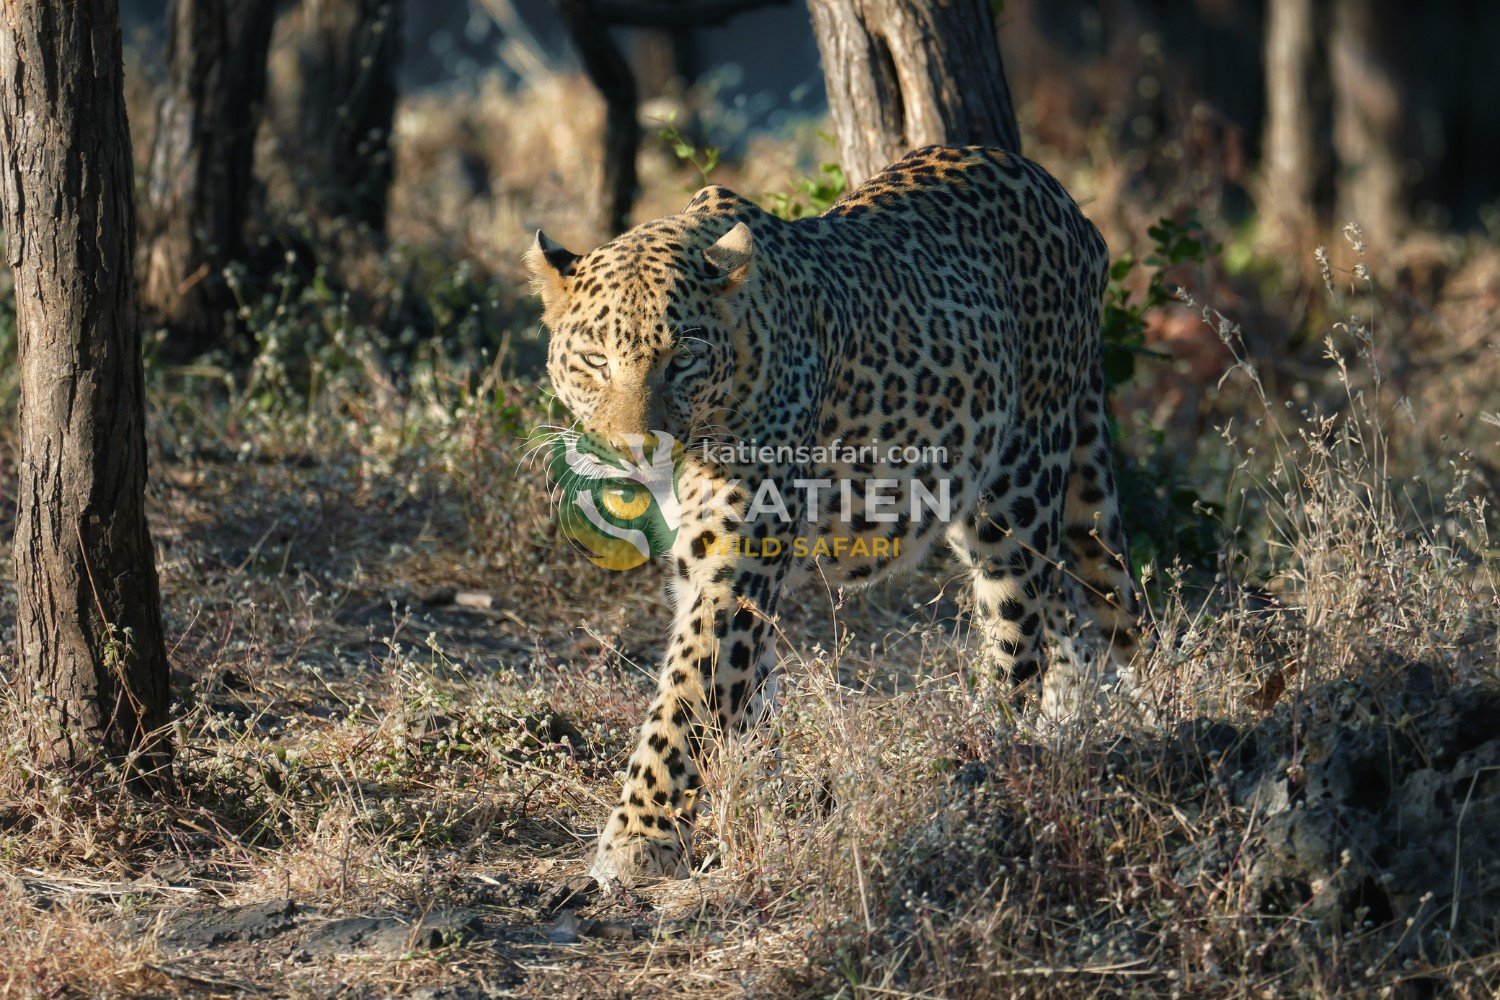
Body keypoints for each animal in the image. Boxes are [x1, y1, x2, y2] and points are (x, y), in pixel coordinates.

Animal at [526, 145, 1141, 886]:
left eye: (684, 359)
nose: (635, 446)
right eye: (595, 359)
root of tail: (1061, 195)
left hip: (1018, 487)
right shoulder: (706, 563)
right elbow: (744, 689)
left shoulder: (736, 562)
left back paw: (985, 759)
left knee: (1020, 634)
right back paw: (1077, 727)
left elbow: (686, 696)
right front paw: (755, 801)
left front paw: (639, 838)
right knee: (1081, 614)